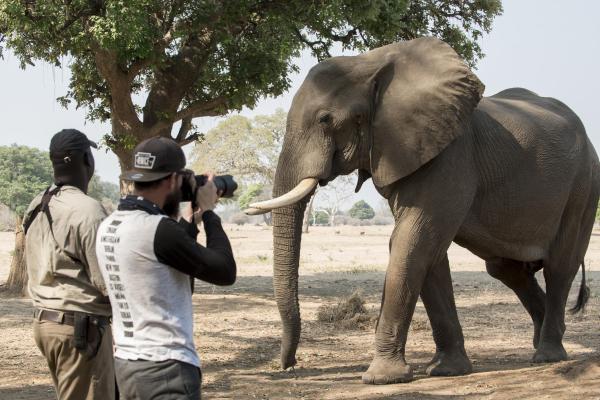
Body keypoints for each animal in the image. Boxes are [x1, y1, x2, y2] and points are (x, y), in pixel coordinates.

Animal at [246, 37, 596, 384]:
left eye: (324, 120)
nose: (290, 366)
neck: (372, 63)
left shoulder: (449, 157)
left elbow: (411, 242)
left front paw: (382, 378)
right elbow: (427, 252)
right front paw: (446, 370)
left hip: (582, 188)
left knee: (559, 266)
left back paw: (548, 354)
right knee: (506, 269)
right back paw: (544, 339)